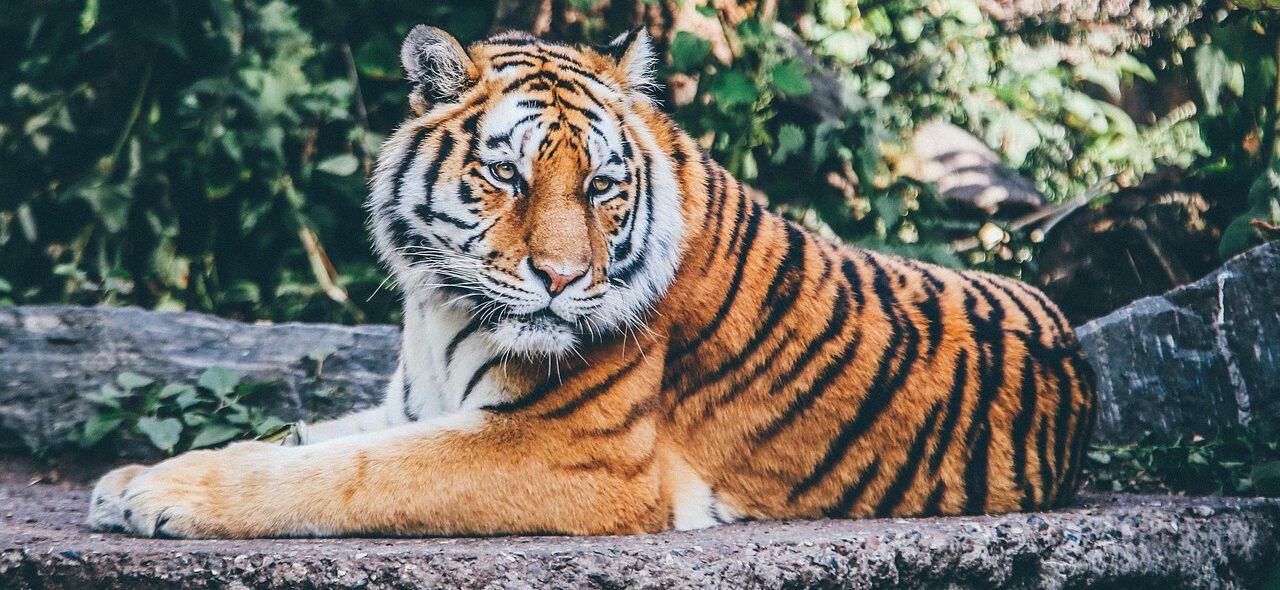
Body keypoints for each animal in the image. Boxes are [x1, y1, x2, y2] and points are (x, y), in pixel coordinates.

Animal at [87, 26, 1096, 538]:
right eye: (507, 175)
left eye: (604, 187)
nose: (563, 279)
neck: (437, 307)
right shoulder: (414, 403)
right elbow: (303, 438)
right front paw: (132, 477)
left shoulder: (568, 452)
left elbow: (346, 472)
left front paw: (163, 496)